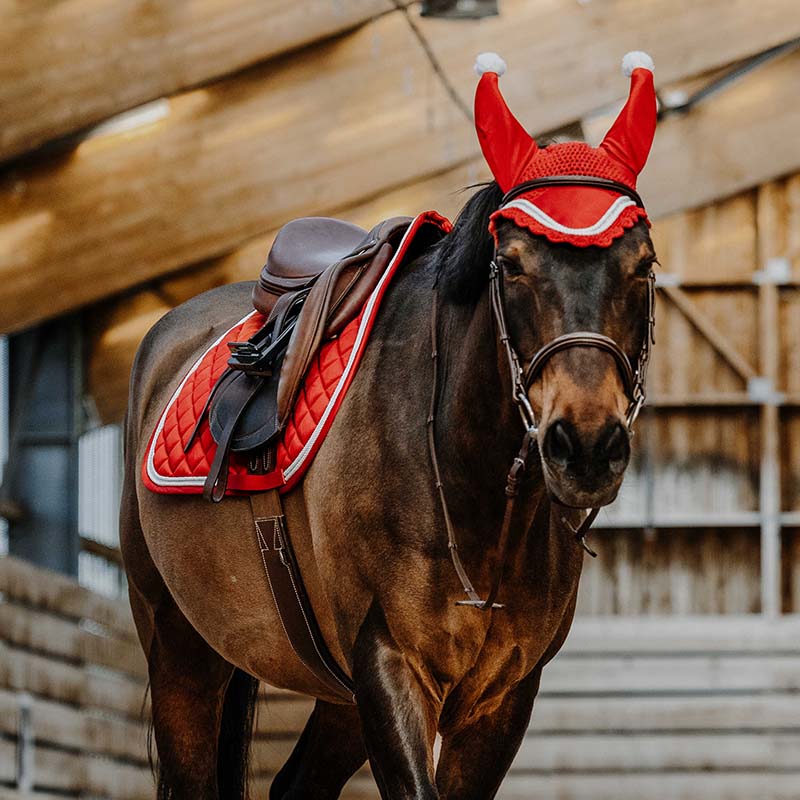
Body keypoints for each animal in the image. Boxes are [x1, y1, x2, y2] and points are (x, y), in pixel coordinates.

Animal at [120, 179, 657, 799]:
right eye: (511, 264)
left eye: (644, 265)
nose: (587, 445)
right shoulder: (389, 662)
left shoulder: (503, 695)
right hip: (181, 651)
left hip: (337, 696)